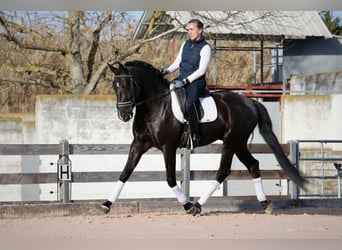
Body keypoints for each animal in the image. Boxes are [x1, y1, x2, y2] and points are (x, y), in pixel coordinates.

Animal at [103, 60, 306, 215]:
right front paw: (106, 204)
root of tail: (250, 102)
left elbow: (170, 179)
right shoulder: (139, 144)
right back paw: (265, 203)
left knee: (223, 170)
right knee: (253, 165)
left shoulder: (168, 147)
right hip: (239, 143)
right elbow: (125, 173)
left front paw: (187, 206)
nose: (124, 114)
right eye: (115, 86)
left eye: (127, 85)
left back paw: (198, 205)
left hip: (231, 142)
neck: (156, 105)